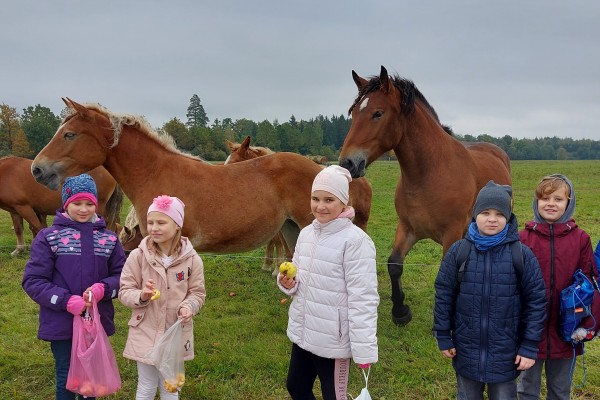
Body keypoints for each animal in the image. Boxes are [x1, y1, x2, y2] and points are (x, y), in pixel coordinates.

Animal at [338, 67, 510, 326]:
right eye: (354, 113)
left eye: (378, 113)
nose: (347, 163)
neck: (428, 174)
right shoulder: (408, 228)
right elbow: (394, 264)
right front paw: (400, 311)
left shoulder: (451, 234)